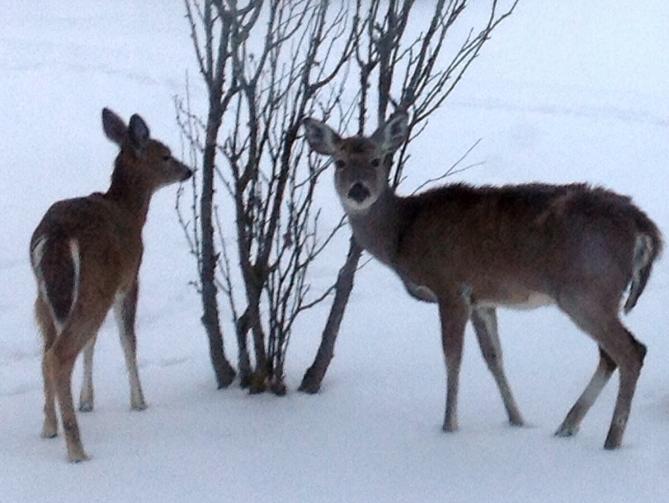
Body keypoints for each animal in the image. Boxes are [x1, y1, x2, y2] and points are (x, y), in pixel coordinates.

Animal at [29, 108, 193, 462]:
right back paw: (76, 450)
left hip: (45, 294)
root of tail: (56, 236)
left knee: (47, 351)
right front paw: (139, 401)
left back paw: (49, 427)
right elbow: (127, 338)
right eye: (165, 154)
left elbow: (92, 343)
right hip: (95, 284)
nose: (188, 170)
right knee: (59, 354)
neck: (129, 210)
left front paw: (87, 400)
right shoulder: (129, 278)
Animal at [303, 111, 662, 450]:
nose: (358, 190)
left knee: (631, 352)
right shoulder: (481, 299)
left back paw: (611, 441)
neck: (402, 234)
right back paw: (566, 427)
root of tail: (643, 227)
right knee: (610, 355)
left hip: (587, 290)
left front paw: (449, 427)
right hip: (593, 294)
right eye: (339, 162)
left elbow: (452, 357)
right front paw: (517, 420)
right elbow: (494, 358)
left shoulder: (450, 286)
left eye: (377, 160)